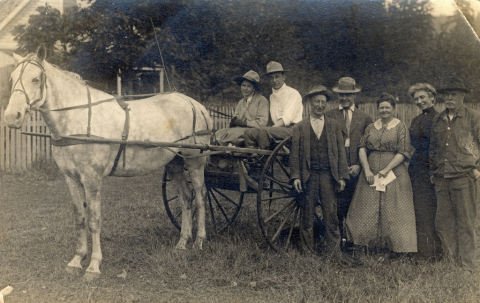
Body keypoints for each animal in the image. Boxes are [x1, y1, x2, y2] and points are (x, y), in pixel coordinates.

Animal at [4, 52, 213, 282]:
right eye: (12, 79)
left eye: (35, 79)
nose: (11, 116)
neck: (77, 119)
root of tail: (196, 104)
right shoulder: (71, 178)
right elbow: (80, 218)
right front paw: (76, 261)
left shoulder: (92, 178)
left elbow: (94, 220)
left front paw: (93, 266)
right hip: (175, 163)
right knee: (185, 198)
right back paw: (182, 243)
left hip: (195, 161)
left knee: (200, 197)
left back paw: (199, 241)